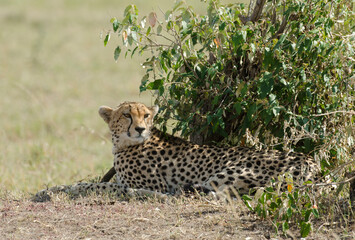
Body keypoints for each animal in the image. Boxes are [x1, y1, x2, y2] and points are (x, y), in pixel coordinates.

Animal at [34, 101, 320, 201]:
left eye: (146, 115)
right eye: (126, 115)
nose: (140, 129)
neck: (124, 144)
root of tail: (313, 161)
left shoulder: (155, 183)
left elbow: (97, 185)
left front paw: (62, 190)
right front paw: (49, 189)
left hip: (226, 173)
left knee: (207, 196)